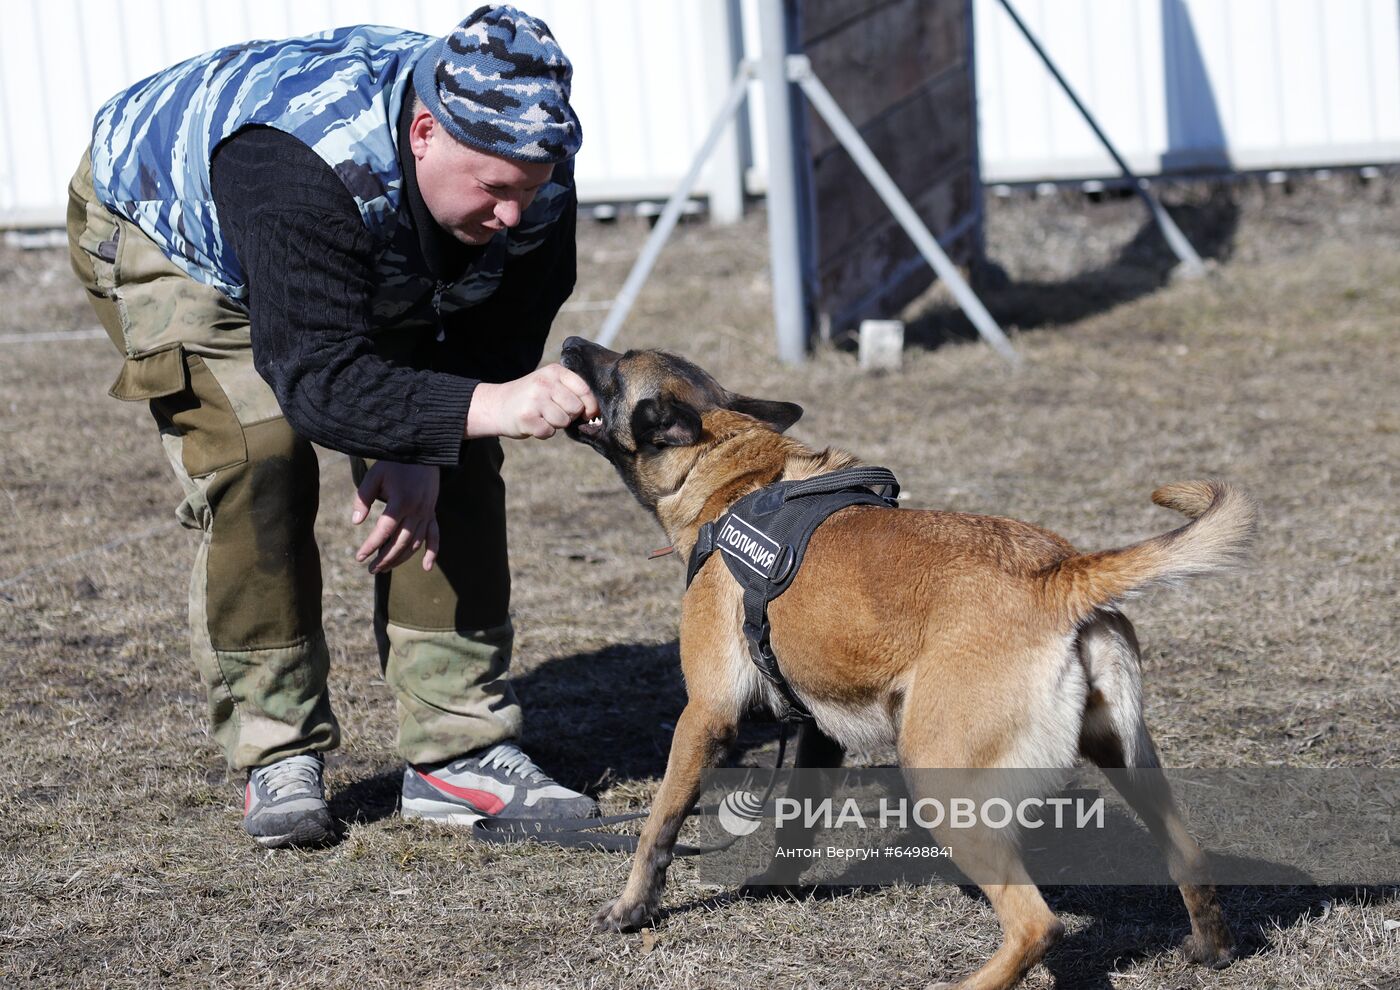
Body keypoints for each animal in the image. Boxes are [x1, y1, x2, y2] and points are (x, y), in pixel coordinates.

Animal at [562, 337, 1254, 985]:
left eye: (616, 366)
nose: (569, 343)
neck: (726, 465)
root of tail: (1060, 574)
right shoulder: (818, 729)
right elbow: (797, 819)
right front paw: (778, 883)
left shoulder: (705, 715)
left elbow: (658, 824)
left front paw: (630, 909)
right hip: (1128, 758)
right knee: (1188, 856)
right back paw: (1211, 950)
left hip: (940, 779)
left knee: (1038, 925)